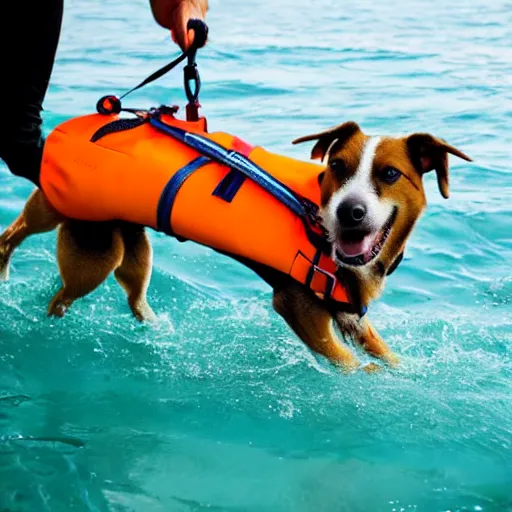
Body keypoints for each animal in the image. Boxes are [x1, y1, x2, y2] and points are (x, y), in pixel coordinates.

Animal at [0, 124, 472, 372]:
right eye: (337, 167)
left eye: (390, 174)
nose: (349, 212)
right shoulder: (297, 305)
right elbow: (349, 363)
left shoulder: (351, 315)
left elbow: (383, 353)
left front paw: (407, 374)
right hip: (80, 240)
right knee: (22, 240)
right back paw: (15, 280)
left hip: (130, 249)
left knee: (132, 291)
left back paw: (154, 325)